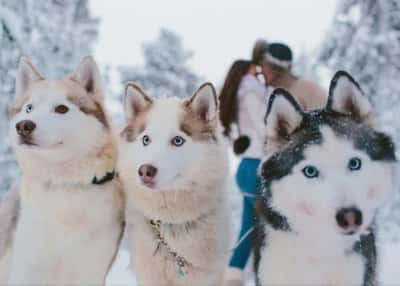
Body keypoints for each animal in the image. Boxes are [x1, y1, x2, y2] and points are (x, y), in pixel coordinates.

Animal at [0, 57, 123, 284]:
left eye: (61, 109)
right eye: (29, 108)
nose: (23, 126)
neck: (65, 183)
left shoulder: (90, 272)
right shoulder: (28, 270)